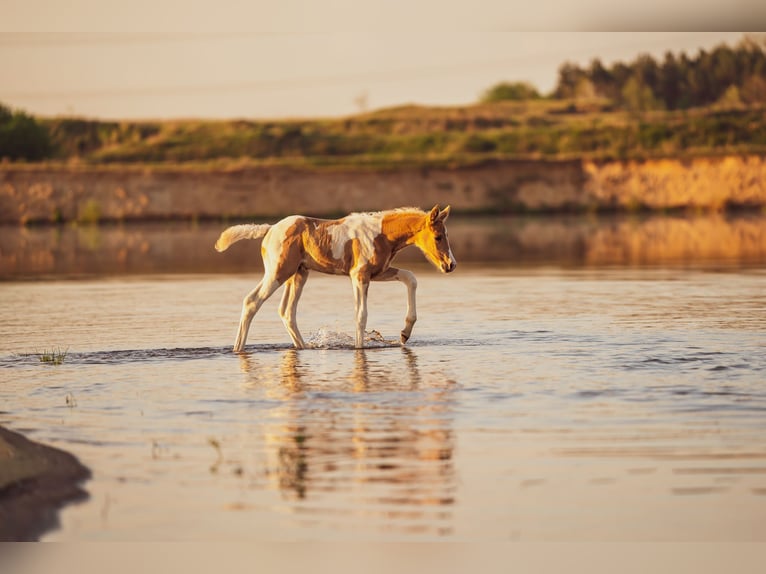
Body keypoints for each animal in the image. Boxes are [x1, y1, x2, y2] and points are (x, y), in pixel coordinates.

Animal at [213, 205, 460, 354]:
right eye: (438, 236)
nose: (451, 265)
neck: (381, 235)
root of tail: (270, 229)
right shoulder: (359, 275)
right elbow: (361, 315)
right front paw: (360, 349)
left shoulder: (378, 272)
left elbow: (411, 278)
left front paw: (405, 333)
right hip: (277, 273)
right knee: (252, 301)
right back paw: (238, 349)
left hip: (299, 275)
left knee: (287, 312)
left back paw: (303, 347)